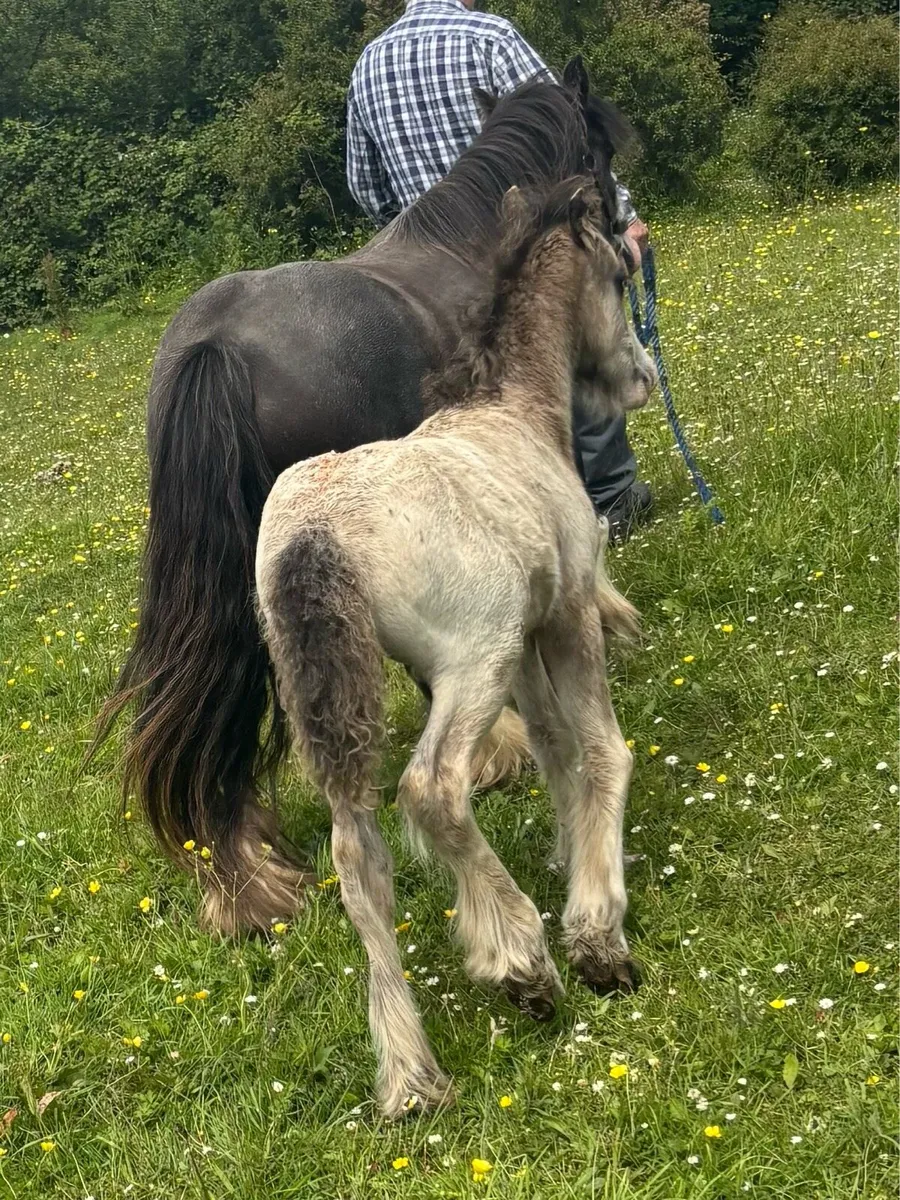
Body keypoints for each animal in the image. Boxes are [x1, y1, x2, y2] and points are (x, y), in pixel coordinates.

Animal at [254, 176, 656, 1118]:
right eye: (620, 275)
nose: (644, 378)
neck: (515, 413)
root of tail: (315, 534)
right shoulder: (564, 616)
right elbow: (600, 747)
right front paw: (597, 928)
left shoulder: (533, 637)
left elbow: (553, 747)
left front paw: (569, 857)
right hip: (474, 663)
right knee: (432, 790)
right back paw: (520, 962)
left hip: (338, 701)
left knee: (356, 853)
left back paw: (410, 1075)